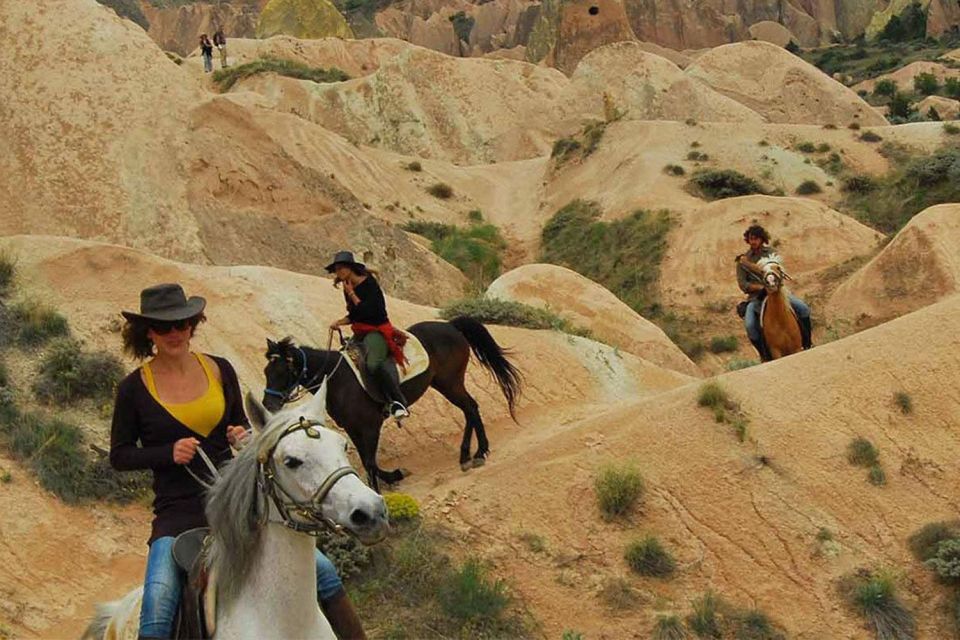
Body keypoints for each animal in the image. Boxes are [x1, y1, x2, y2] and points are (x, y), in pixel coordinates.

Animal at [258, 318, 520, 490]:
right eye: (266, 371)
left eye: (282, 371)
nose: (268, 402)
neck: (338, 378)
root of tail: (450, 325)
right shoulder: (354, 428)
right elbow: (369, 462)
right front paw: (393, 476)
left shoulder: (370, 425)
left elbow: (370, 461)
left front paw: (379, 490)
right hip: (443, 384)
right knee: (469, 410)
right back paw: (467, 455)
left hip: (450, 383)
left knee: (471, 408)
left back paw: (479, 452)